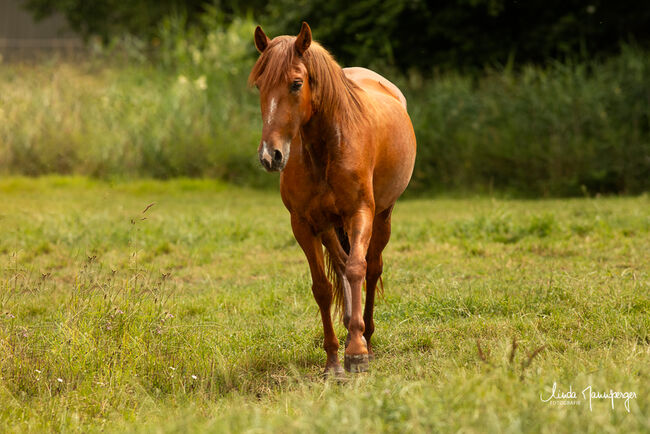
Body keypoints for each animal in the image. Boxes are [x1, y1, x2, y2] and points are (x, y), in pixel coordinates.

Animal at [248, 22, 416, 374]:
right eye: (259, 86)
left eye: (296, 83)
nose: (271, 156)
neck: (326, 149)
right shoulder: (303, 224)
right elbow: (323, 288)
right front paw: (333, 362)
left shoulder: (360, 213)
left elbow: (357, 269)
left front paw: (357, 352)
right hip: (328, 227)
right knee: (339, 264)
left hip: (383, 217)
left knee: (372, 267)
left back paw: (367, 336)